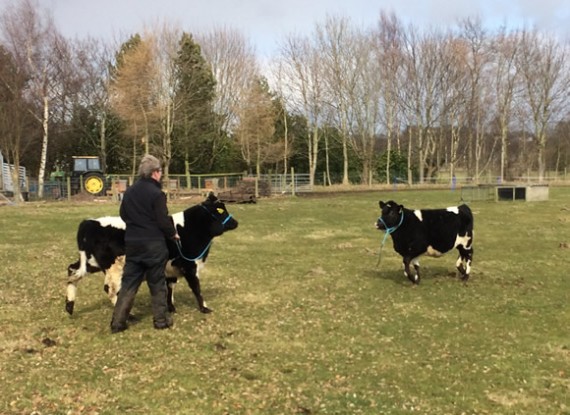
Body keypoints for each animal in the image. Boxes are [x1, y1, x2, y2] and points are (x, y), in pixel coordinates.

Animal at [66, 194, 237, 316]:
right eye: (220, 210)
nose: (235, 222)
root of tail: (89, 222)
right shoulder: (189, 266)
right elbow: (196, 288)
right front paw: (204, 308)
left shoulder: (170, 268)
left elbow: (170, 288)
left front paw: (171, 308)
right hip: (114, 268)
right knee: (110, 289)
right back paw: (129, 316)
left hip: (90, 262)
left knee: (72, 272)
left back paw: (69, 307)